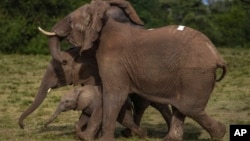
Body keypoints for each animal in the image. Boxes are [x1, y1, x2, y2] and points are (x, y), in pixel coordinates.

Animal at [38, 0, 227, 141]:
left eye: (70, 21)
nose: (63, 58)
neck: (104, 23)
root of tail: (216, 55)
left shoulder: (113, 58)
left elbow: (114, 94)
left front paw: (97, 139)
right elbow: (107, 95)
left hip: (195, 74)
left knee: (190, 107)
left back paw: (220, 133)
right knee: (181, 107)